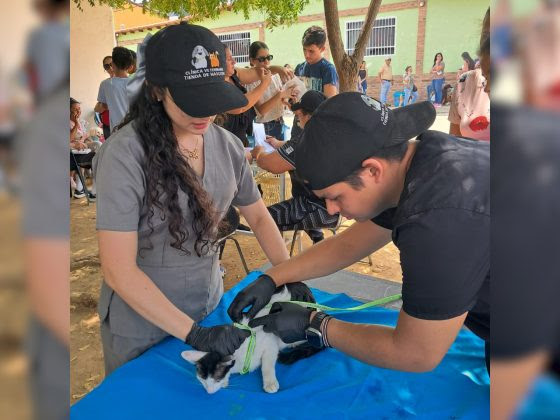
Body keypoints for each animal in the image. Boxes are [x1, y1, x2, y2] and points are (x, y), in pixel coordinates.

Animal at [183, 286, 322, 394]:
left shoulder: (269, 344)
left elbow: (267, 364)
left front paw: (270, 382)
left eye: (216, 378)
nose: (209, 392)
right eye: (202, 380)